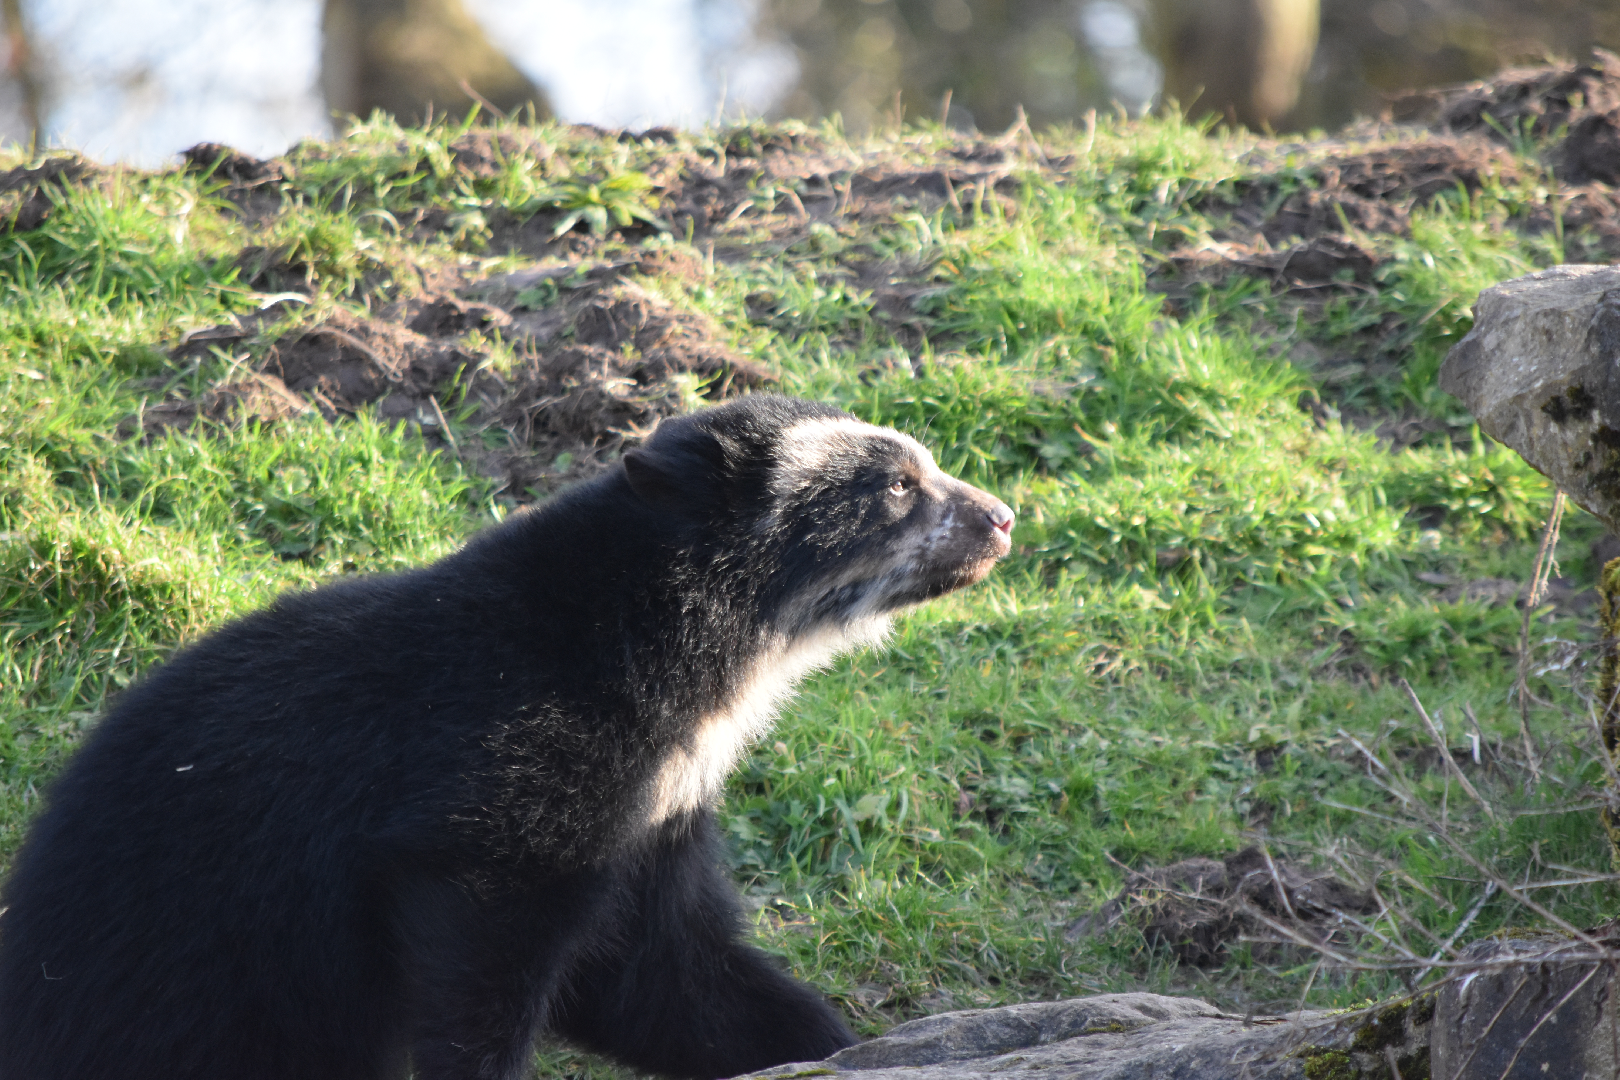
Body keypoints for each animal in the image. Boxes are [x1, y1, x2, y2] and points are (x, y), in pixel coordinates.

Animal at [0, 394, 1015, 1080]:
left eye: (923, 469)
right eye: (897, 488)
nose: (1003, 518)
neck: (687, 671)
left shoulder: (657, 815)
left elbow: (663, 974)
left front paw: (836, 1047)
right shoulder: (512, 776)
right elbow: (484, 946)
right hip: (198, 977)